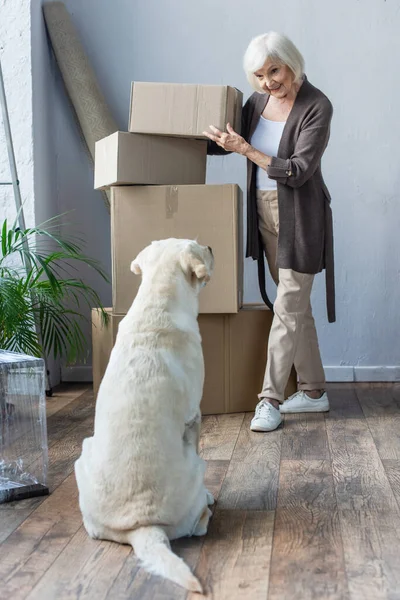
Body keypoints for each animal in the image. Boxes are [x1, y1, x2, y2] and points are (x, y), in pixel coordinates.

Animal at [74, 238, 214, 592]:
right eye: (199, 247)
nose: (210, 246)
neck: (156, 302)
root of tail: (144, 526)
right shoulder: (194, 415)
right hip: (198, 467)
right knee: (199, 524)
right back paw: (207, 504)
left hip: (83, 454)